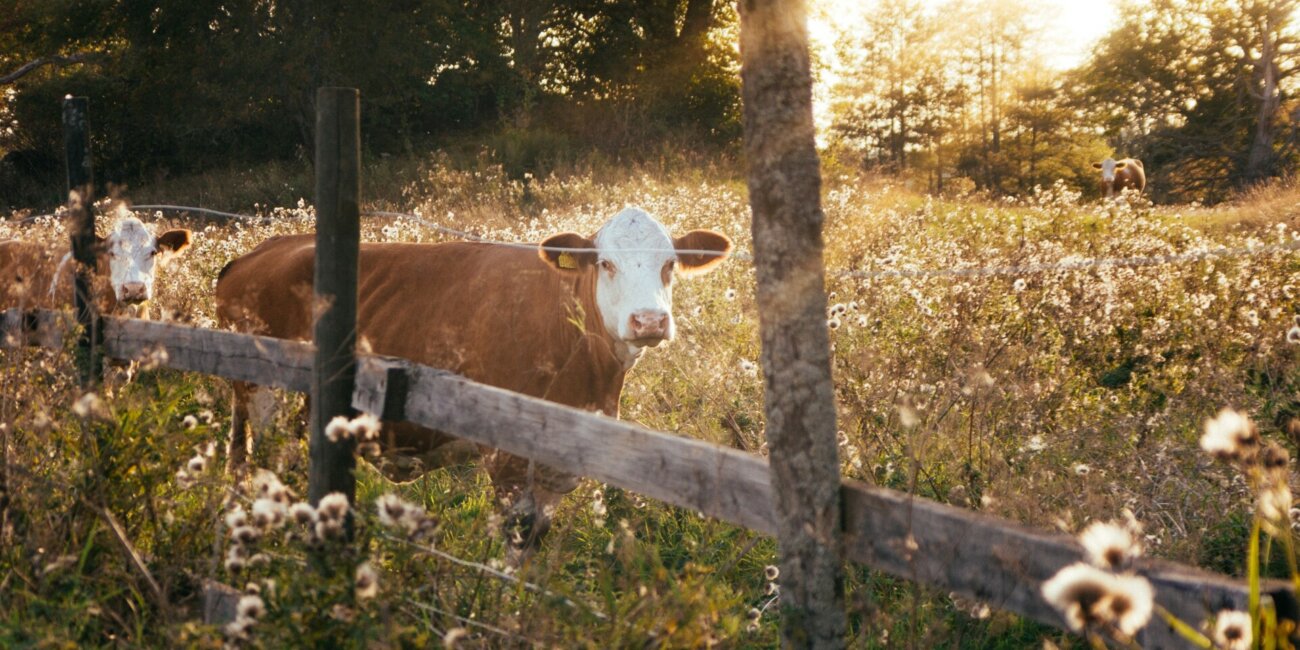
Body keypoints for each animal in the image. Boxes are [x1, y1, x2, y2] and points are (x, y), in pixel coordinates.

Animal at [218, 206, 738, 559]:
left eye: (670, 264)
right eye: (605, 263)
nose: (649, 320)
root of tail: (257, 252)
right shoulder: (507, 459)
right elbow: (516, 537)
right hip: (268, 403)